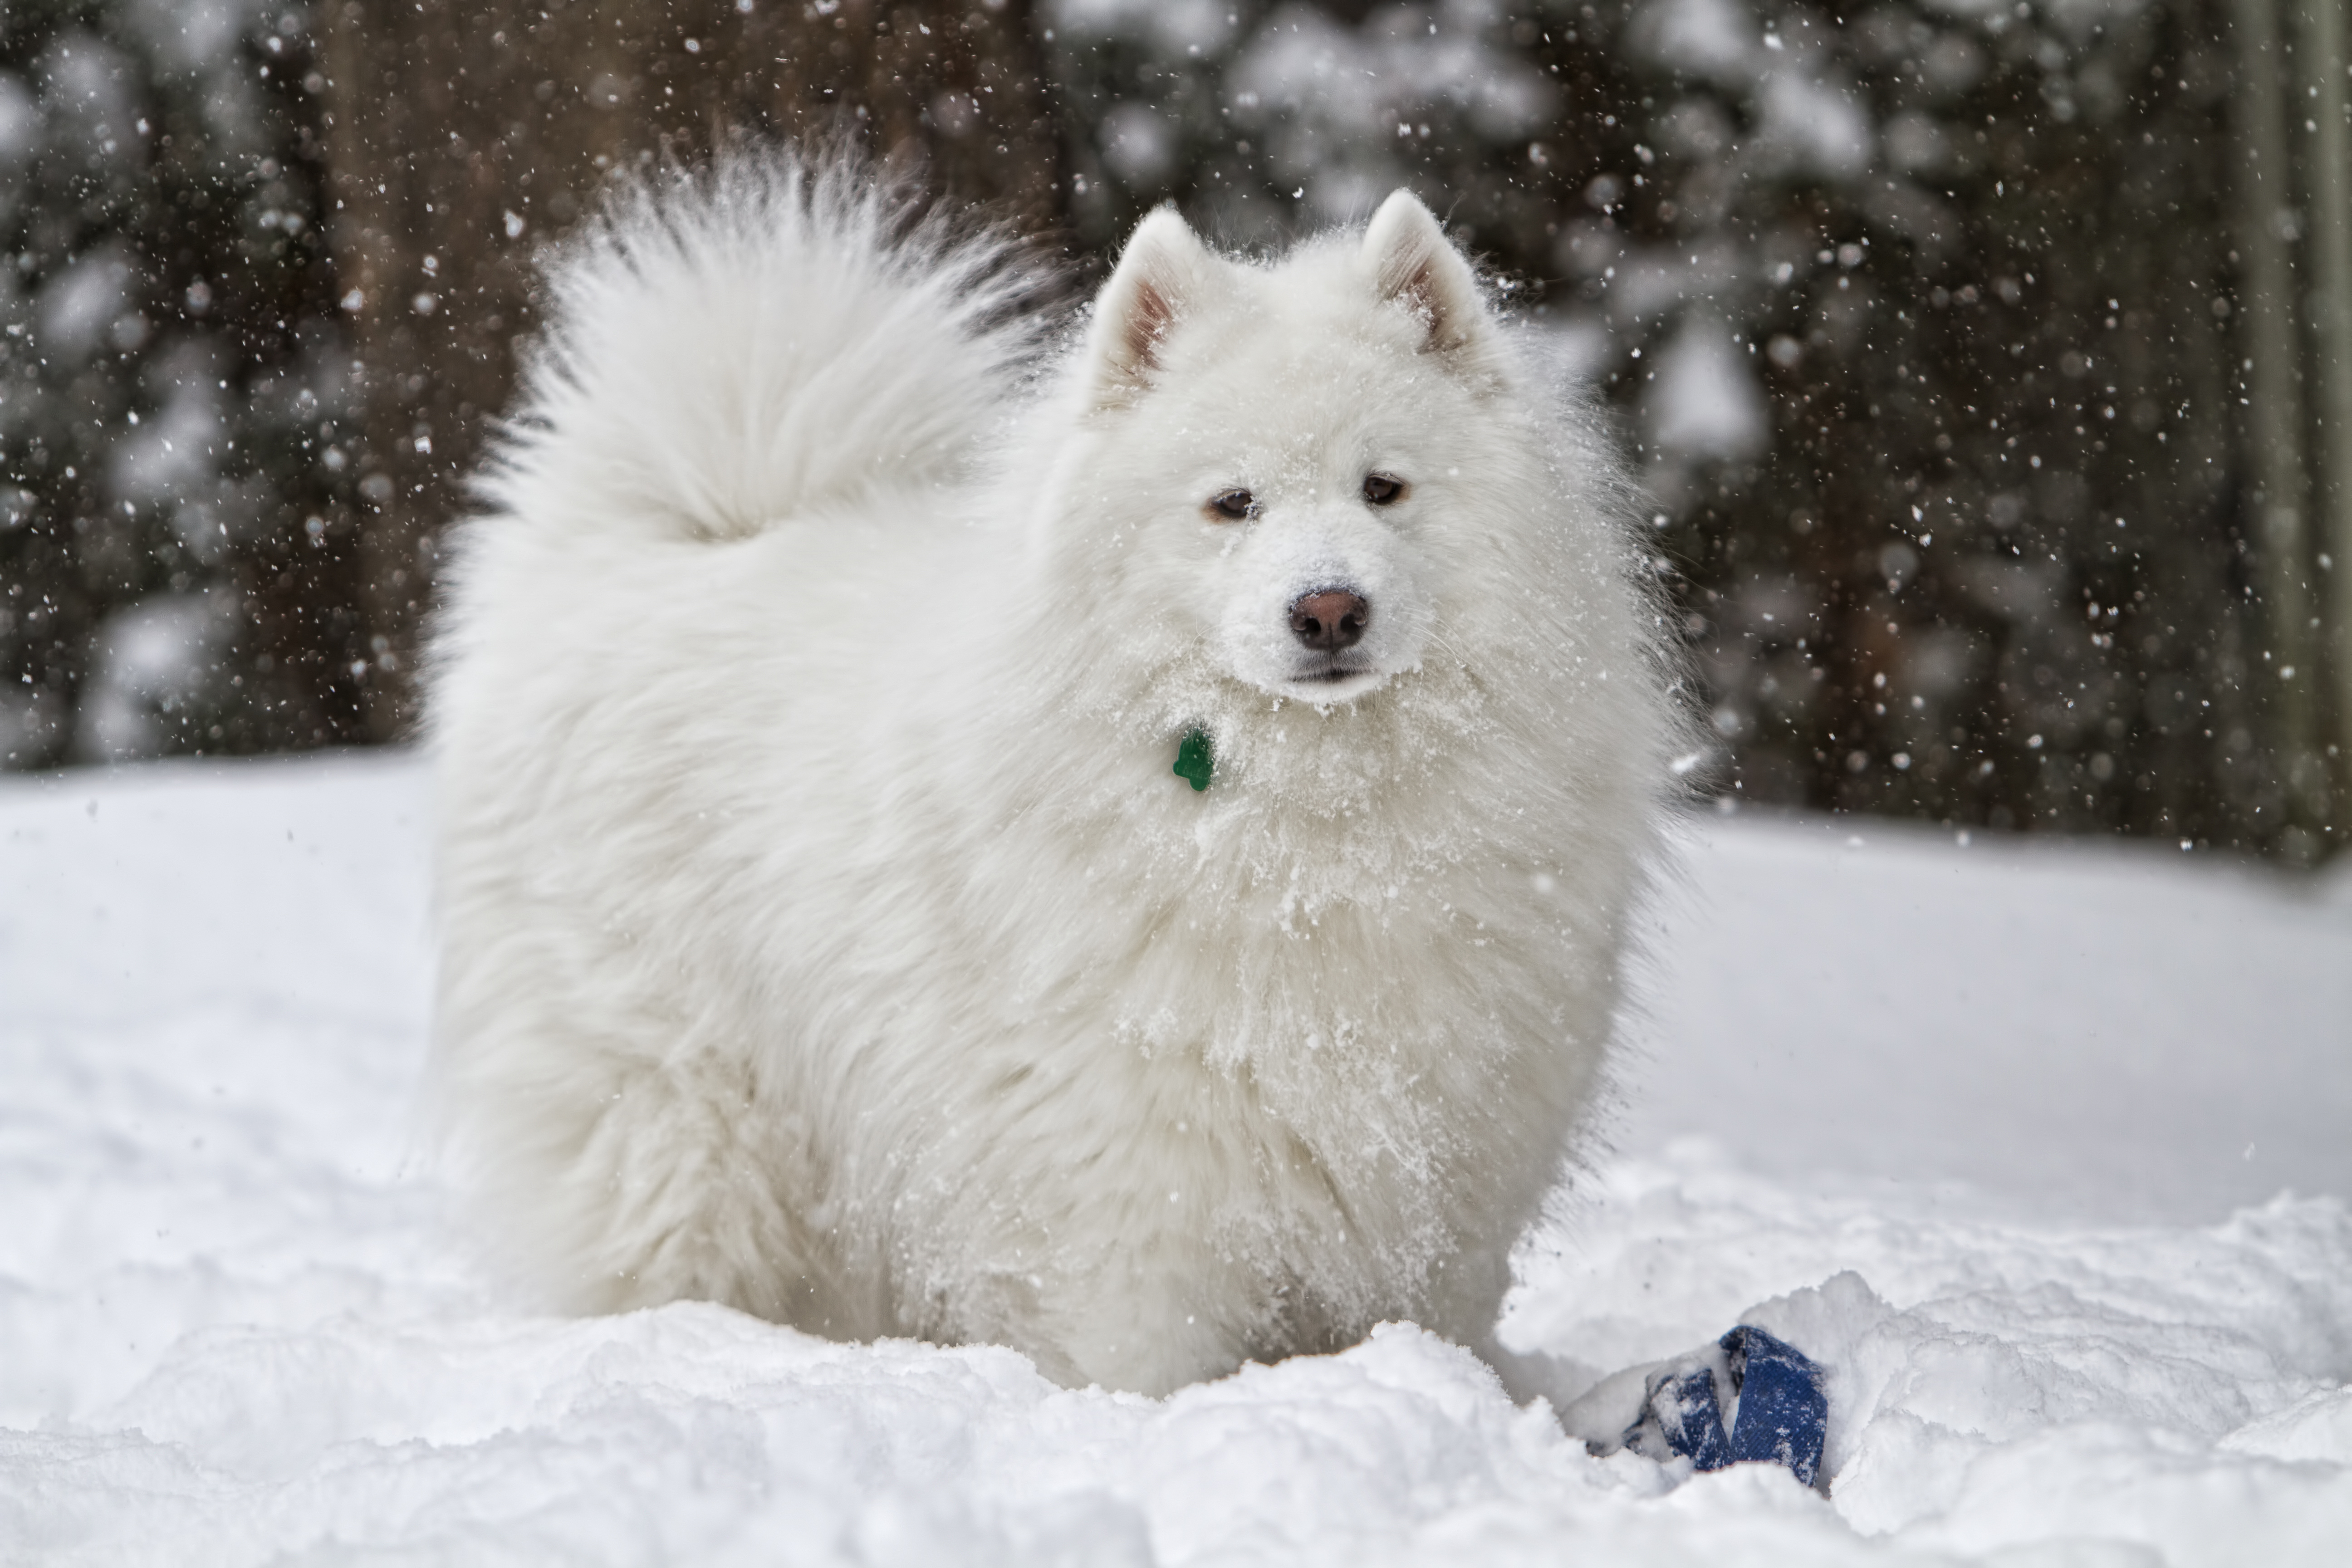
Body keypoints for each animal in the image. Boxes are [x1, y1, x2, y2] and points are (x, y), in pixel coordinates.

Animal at [432, 160, 1684, 1401]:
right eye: (1233, 504)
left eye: (1384, 488)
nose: (1329, 609)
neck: (1303, 830)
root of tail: (686, 539)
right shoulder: (1130, 1192)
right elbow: (1144, 1367)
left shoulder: (1441, 1180)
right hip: (686, 1127)